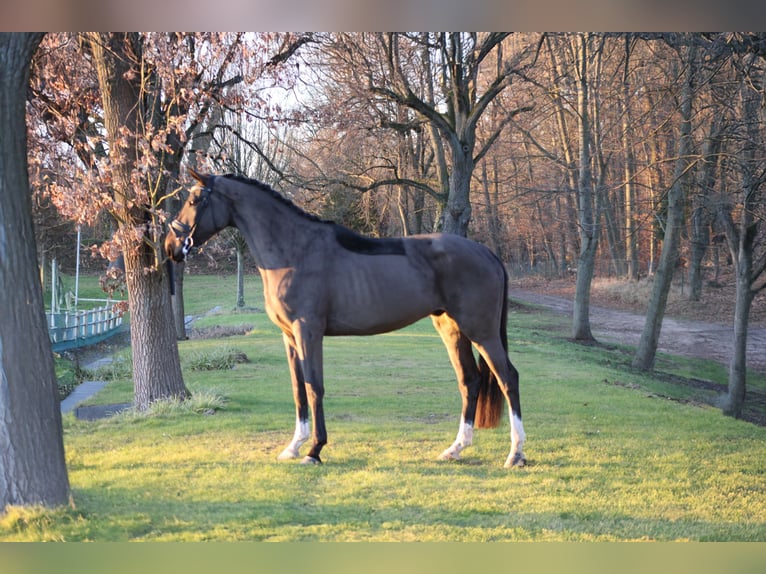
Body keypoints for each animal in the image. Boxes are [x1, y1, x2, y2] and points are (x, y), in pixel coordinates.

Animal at [166, 171, 528, 468]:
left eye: (194, 199)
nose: (171, 245)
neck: (294, 251)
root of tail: (486, 253)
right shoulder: (289, 336)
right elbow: (298, 389)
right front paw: (293, 447)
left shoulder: (308, 331)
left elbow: (314, 387)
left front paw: (314, 450)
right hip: (451, 328)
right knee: (470, 380)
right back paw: (455, 449)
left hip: (481, 330)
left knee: (508, 377)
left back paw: (516, 453)